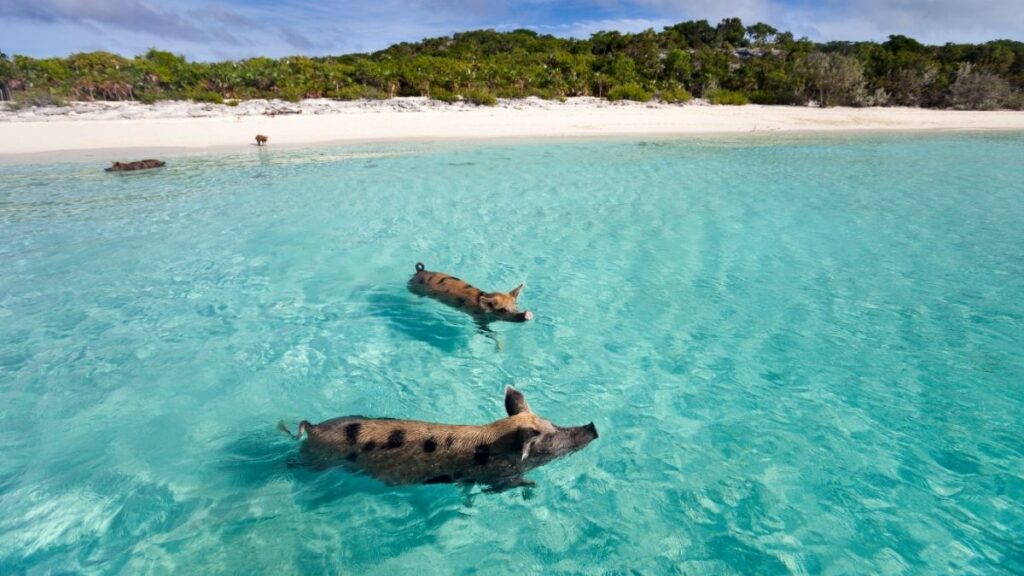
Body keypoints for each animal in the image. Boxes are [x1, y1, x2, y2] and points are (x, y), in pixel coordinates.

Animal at [279, 387, 598, 491]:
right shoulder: (496, 476)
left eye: (552, 423)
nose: (593, 426)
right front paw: (533, 485)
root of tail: (313, 427)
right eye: (550, 438)